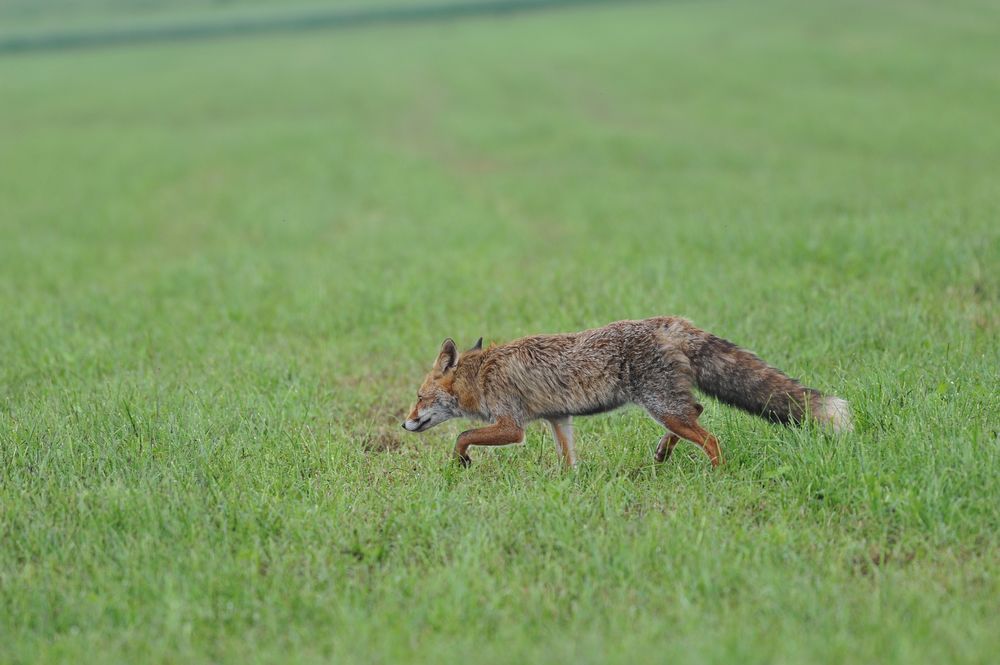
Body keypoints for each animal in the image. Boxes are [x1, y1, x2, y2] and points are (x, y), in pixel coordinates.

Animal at [401, 317, 851, 468]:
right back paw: (664, 452)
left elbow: (463, 435)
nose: (404, 424)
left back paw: (717, 475)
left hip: (661, 406)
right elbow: (568, 461)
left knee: (711, 438)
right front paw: (567, 487)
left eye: (420, 398)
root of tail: (670, 322)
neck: (482, 374)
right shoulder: (559, 419)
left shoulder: (512, 426)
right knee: (699, 410)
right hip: (668, 406)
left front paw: (461, 462)